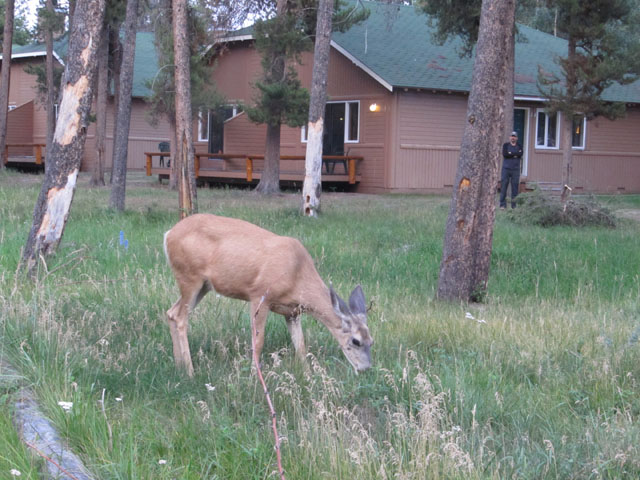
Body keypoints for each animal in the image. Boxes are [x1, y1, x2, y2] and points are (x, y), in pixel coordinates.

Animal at [162, 212, 372, 376]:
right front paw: (255, 377)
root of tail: (168, 234)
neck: (297, 275)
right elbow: (258, 342)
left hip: (203, 285)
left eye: (371, 340)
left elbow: (301, 345)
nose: (366, 368)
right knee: (180, 317)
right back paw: (190, 371)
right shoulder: (259, 295)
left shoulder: (292, 312)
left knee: (171, 312)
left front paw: (308, 375)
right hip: (190, 276)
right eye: (356, 341)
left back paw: (178, 365)